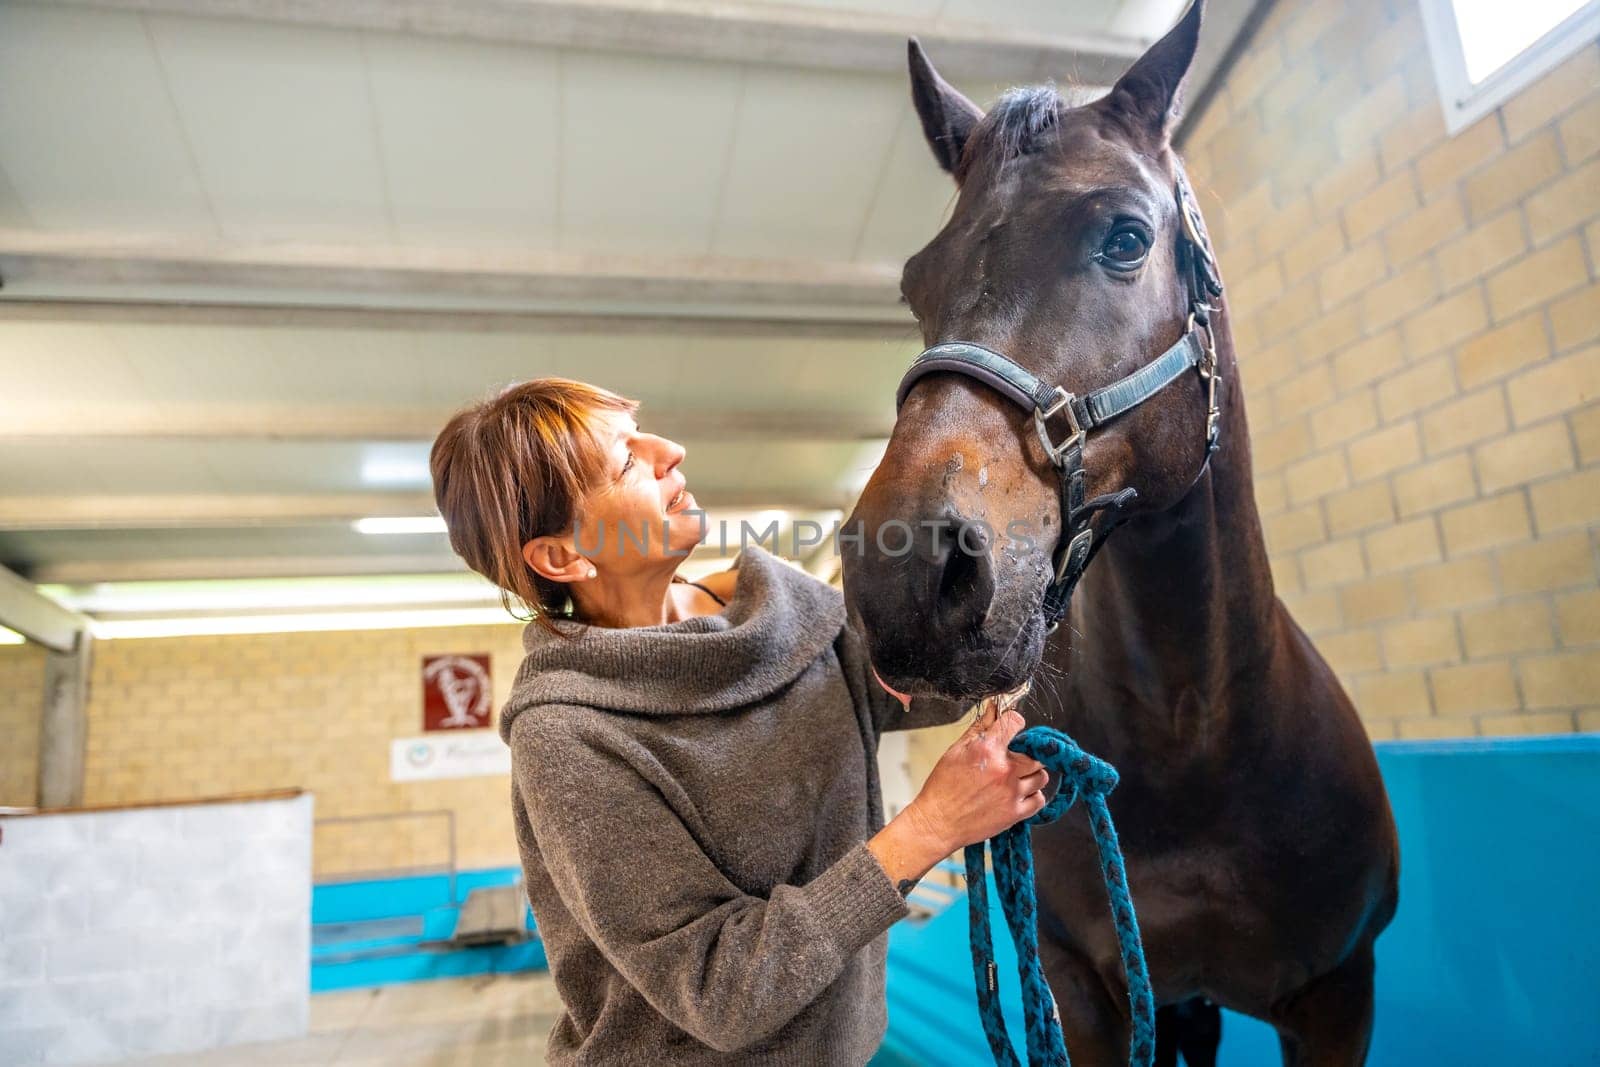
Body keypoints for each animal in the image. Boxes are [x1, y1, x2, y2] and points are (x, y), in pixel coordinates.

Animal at [838, 4, 1401, 1062]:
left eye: (1128, 237)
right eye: (915, 284)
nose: (904, 570)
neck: (1197, 741)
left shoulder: (1340, 994)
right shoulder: (1084, 991)